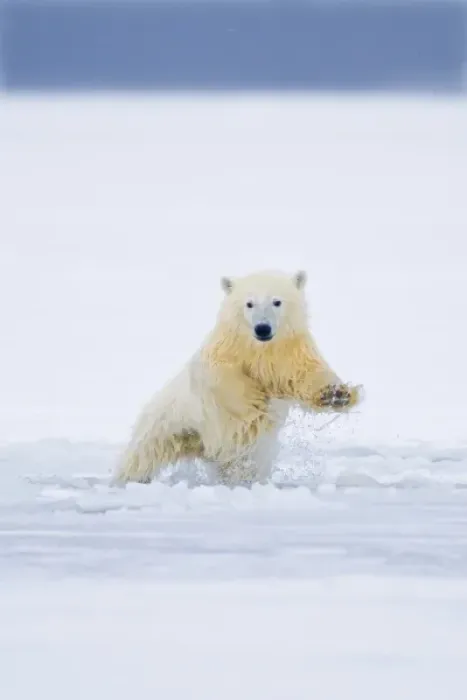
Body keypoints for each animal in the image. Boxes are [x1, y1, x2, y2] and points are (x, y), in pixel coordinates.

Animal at [113, 269, 363, 486]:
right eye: (249, 303)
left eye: (277, 301)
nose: (262, 328)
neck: (259, 349)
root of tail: (201, 447)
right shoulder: (227, 349)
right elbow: (218, 375)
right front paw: (252, 401)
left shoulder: (288, 352)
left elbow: (305, 372)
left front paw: (337, 395)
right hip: (172, 420)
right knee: (145, 452)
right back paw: (128, 479)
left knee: (246, 465)